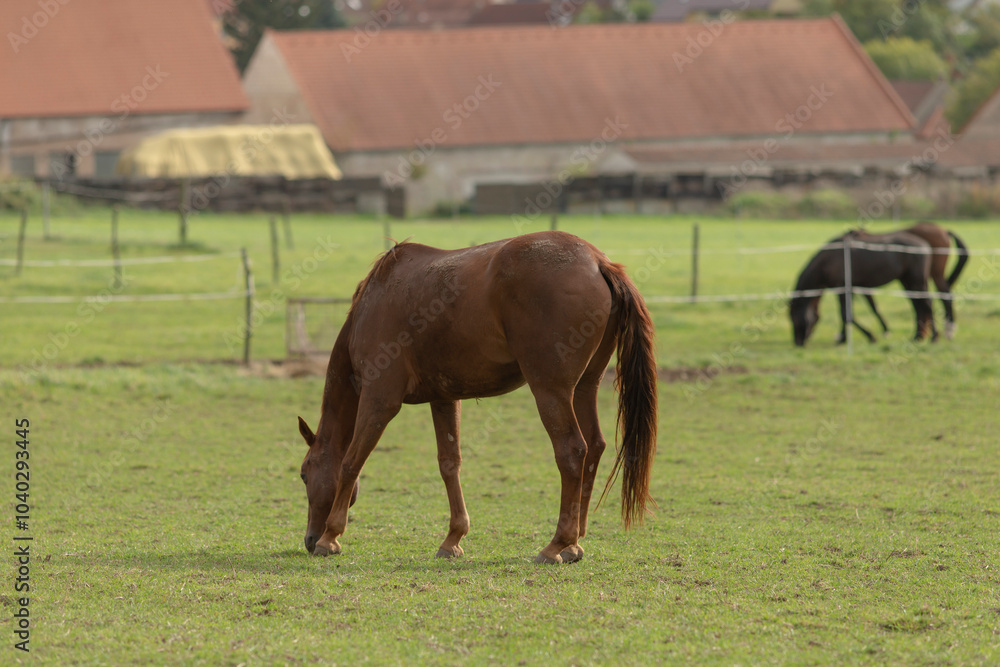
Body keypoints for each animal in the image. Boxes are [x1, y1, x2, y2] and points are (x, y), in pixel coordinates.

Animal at [297, 230, 658, 564]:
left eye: (303, 473)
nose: (309, 539)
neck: (374, 301)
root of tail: (597, 261)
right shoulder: (443, 398)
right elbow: (449, 464)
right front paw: (453, 539)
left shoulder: (378, 401)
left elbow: (350, 462)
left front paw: (331, 536)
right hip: (584, 387)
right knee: (594, 447)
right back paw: (574, 544)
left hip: (550, 391)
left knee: (572, 451)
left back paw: (557, 543)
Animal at [790, 229, 936, 346]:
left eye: (794, 318)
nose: (798, 342)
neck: (827, 260)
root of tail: (924, 244)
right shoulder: (855, 289)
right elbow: (867, 309)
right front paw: (843, 338)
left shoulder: (842, 289)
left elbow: (846, 315)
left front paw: (871, 336)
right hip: (907, 281)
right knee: (918, 306)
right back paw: (918, 336)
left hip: (917, 281)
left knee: (927, 304)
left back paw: (934, 337)